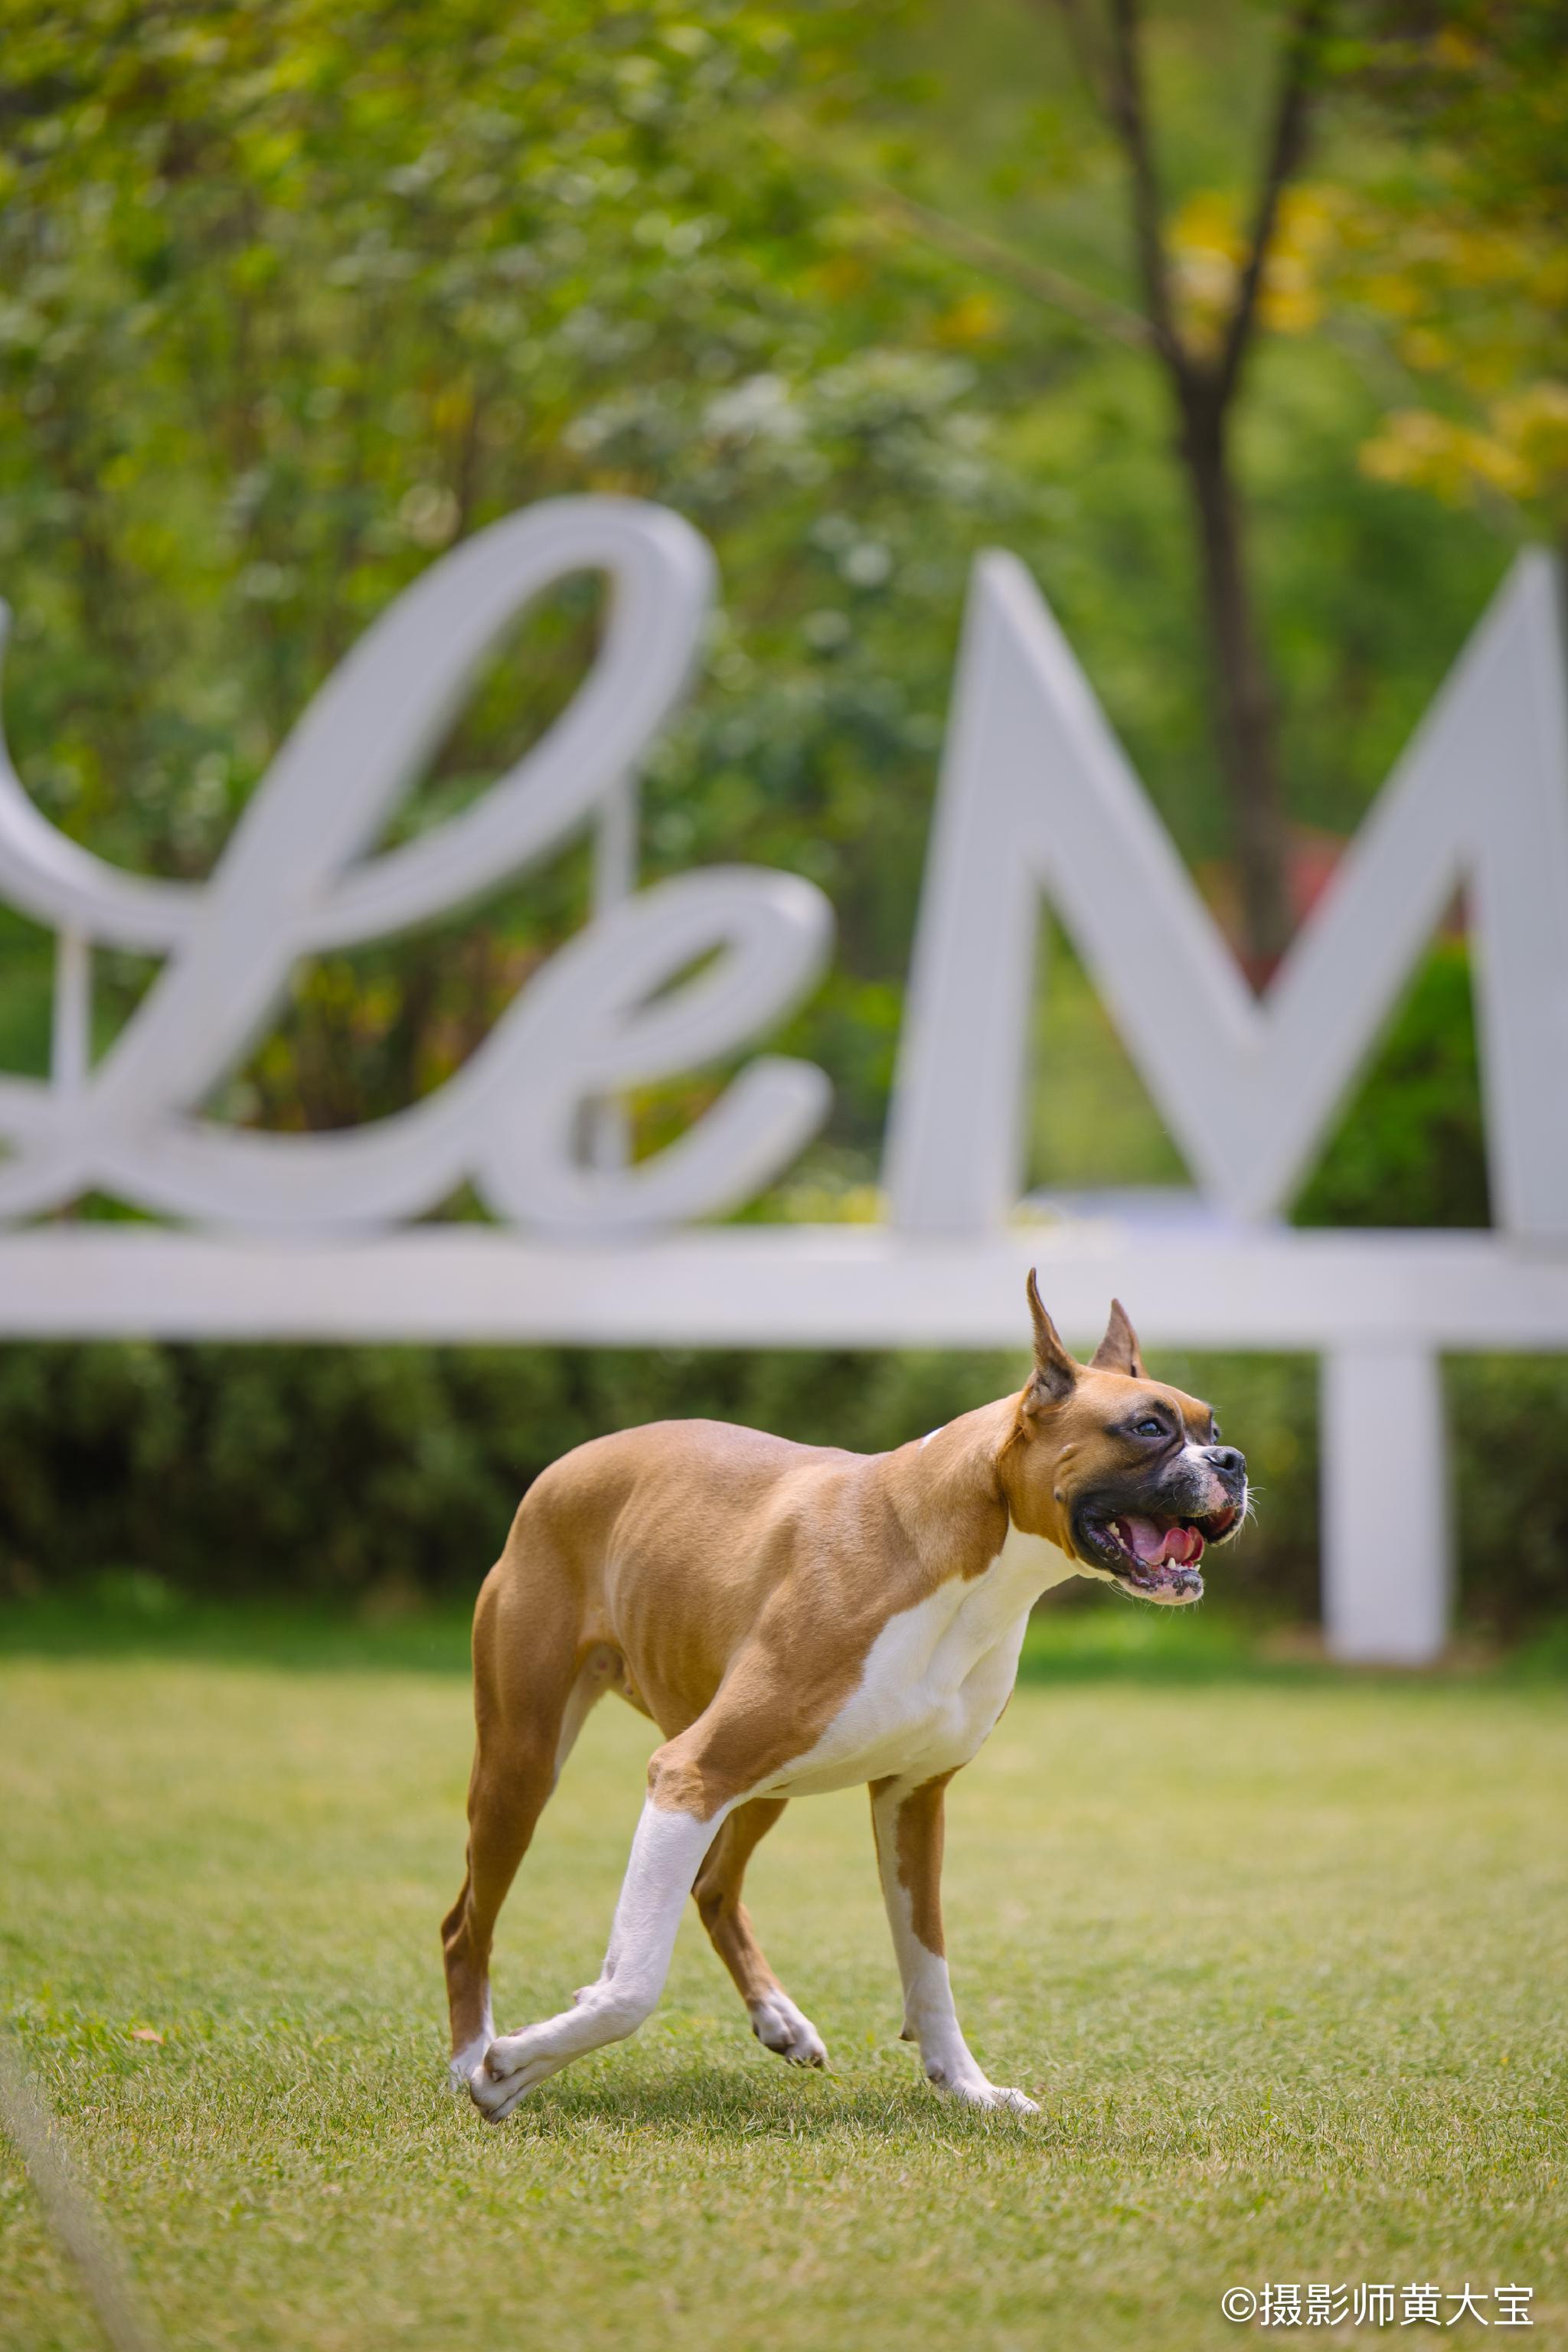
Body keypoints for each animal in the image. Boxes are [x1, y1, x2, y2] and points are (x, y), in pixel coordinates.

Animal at [444, 1279, 1250, 2126]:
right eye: (1147, 1428)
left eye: (1213, 1430)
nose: (1232, 1462)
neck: (967, 1565)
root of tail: (570, 1463)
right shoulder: (687, 1773)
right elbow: (632, 1984)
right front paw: (512, 2065)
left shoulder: (911, 1801)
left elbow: (928, 1965)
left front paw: (966, 2084)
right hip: (526, 1769)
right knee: (465, 1926)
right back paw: (470, 2059)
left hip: (759, 1789)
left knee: (711, 1887)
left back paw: (776, 2016)